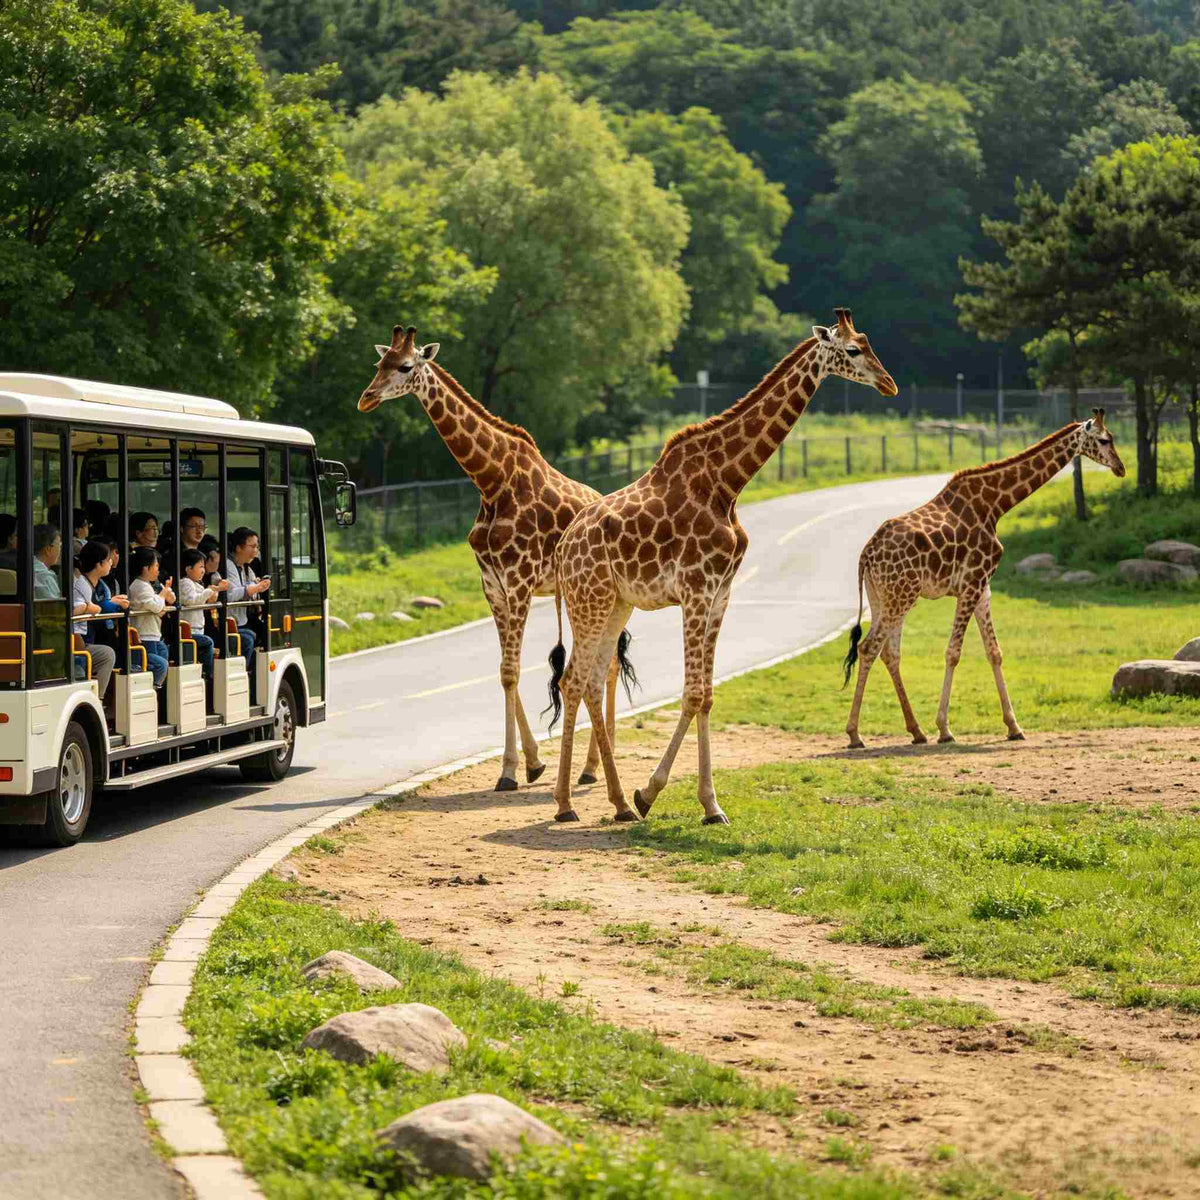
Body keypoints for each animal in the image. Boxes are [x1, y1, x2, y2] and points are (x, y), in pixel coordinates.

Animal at [357, 324, 632, 792]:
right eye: (379, 362)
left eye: (406, 365)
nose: (367, 398)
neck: (491, 481)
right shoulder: (493, 584)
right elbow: (504, 671)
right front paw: (531, 764)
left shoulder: (519, 581)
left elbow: (513, 670)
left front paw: (509, 771)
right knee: (602, 663)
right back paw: (592, 764)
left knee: (609, 664)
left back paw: (593, 767)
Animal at [544, 308, 898, 824]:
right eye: (853, 350)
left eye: (870, 343)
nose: (889, 384)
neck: (727, 483)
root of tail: (562, 548)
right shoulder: (695, 589)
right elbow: (692, 693)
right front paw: (651, 793)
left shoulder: (720, 594)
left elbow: (707, 695)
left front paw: (708, 805)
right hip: (588, 600)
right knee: (573, 680)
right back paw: (569, 804)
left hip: (616, 604)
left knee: (588, 682)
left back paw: (616, 803)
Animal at [842, 409, 1126, 749]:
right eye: (1104, 439)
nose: (1121, 468)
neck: (995, 504)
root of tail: (866, 555)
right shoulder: (971, 583)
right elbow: (953, 652)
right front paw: (945, 729)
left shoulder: (983, 589)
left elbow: (995, 652)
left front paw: (1014, 726)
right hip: (901, 596)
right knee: (869, 647)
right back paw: (855, 734)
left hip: (882, 598)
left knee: (889, 652)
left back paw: (916, 731)